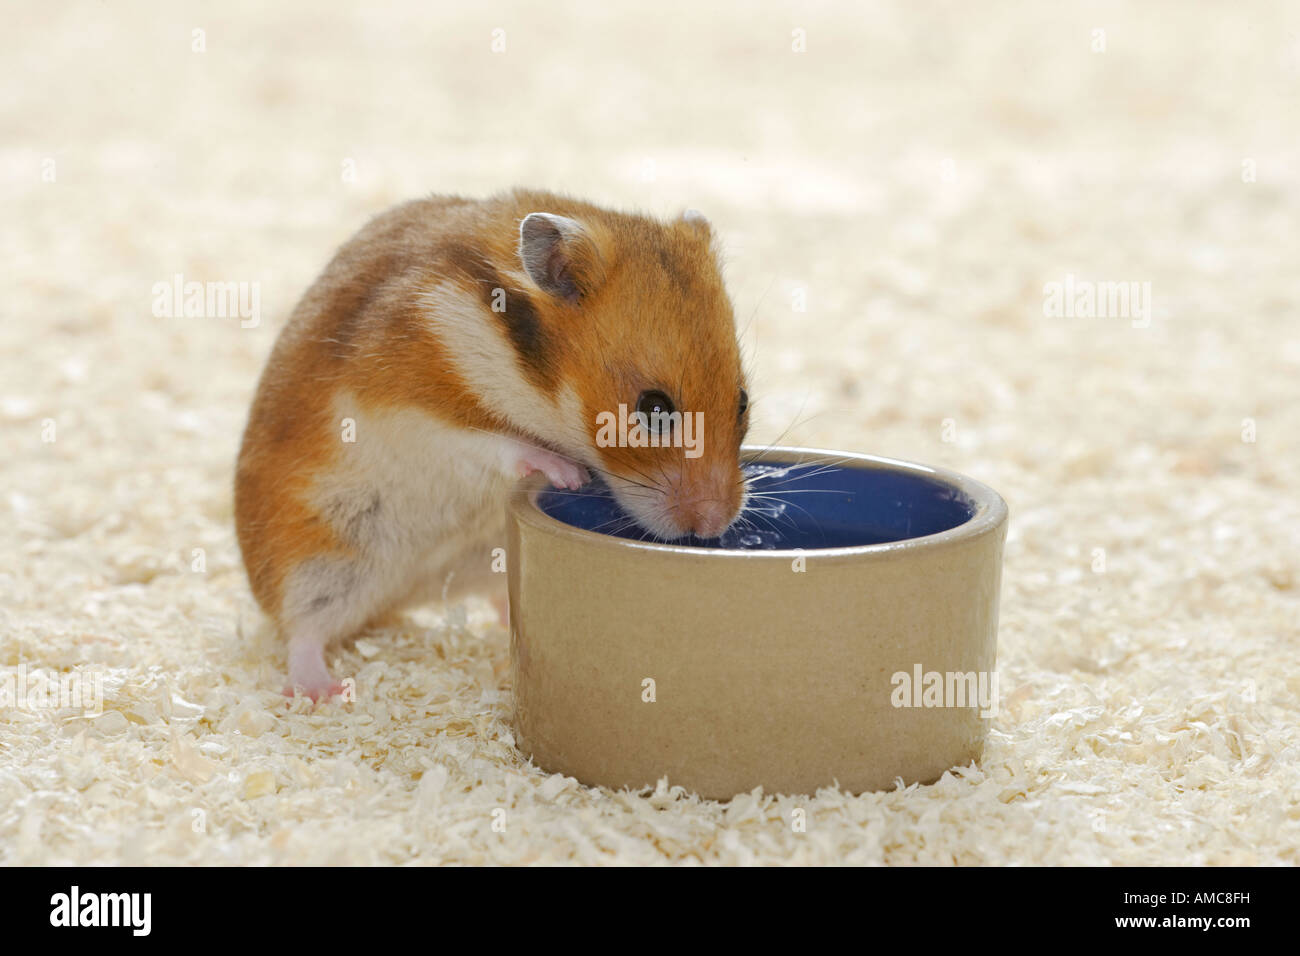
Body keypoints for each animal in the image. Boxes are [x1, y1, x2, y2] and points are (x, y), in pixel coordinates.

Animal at [233, 191, 754, 697]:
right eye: (653, 408)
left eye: (743, 401)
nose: (713, 525)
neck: (526, 373)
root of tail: (400, 597)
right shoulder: (413, 412)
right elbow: (499, 443)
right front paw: (570, 475)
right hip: (315, 564)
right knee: (302, 632)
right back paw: (324, 691)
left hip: (481, 558)